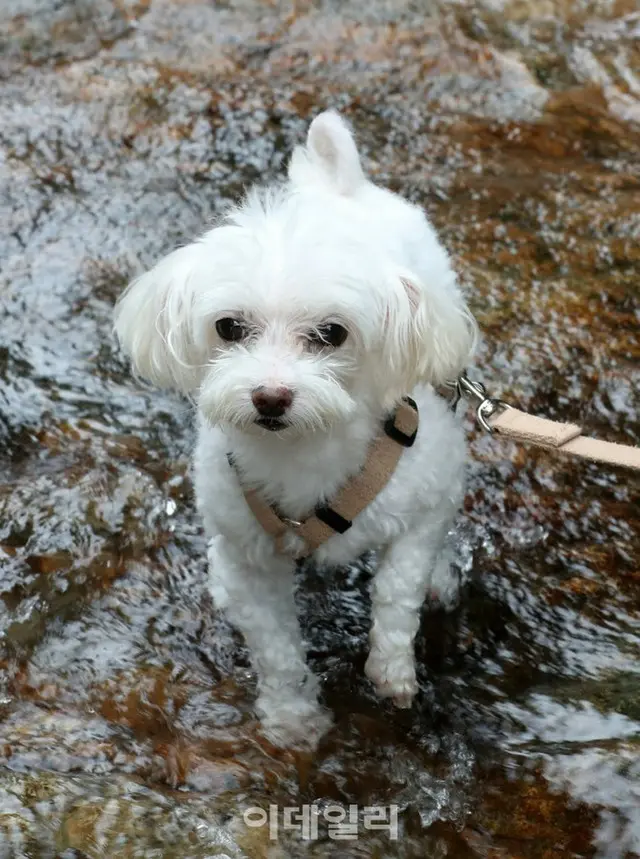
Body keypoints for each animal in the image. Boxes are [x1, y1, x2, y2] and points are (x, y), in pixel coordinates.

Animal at [114, 112, 476, 744]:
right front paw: (292, 719)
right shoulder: (251, 555)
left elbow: (398, 588)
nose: (270, 396)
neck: (305, 451)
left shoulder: (426, 497)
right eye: (229, 328)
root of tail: (339, 186)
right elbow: (276, 647)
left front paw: (392, 671)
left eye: (332, 333)